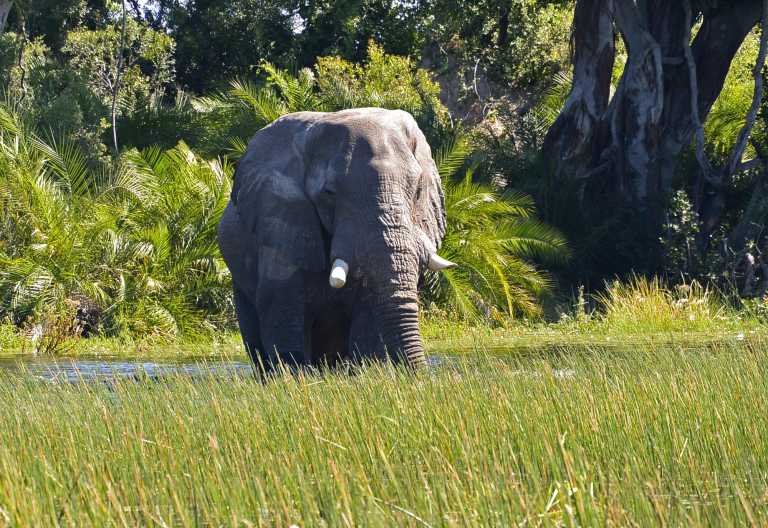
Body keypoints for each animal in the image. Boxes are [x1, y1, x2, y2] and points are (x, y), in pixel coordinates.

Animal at [217, 108, 455, 372]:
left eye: (417, 190)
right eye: (329, 194)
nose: (420, 373)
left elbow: (368, 312)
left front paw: (365, 372)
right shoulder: (280, 218)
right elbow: (281, 301)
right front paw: (296, 376)